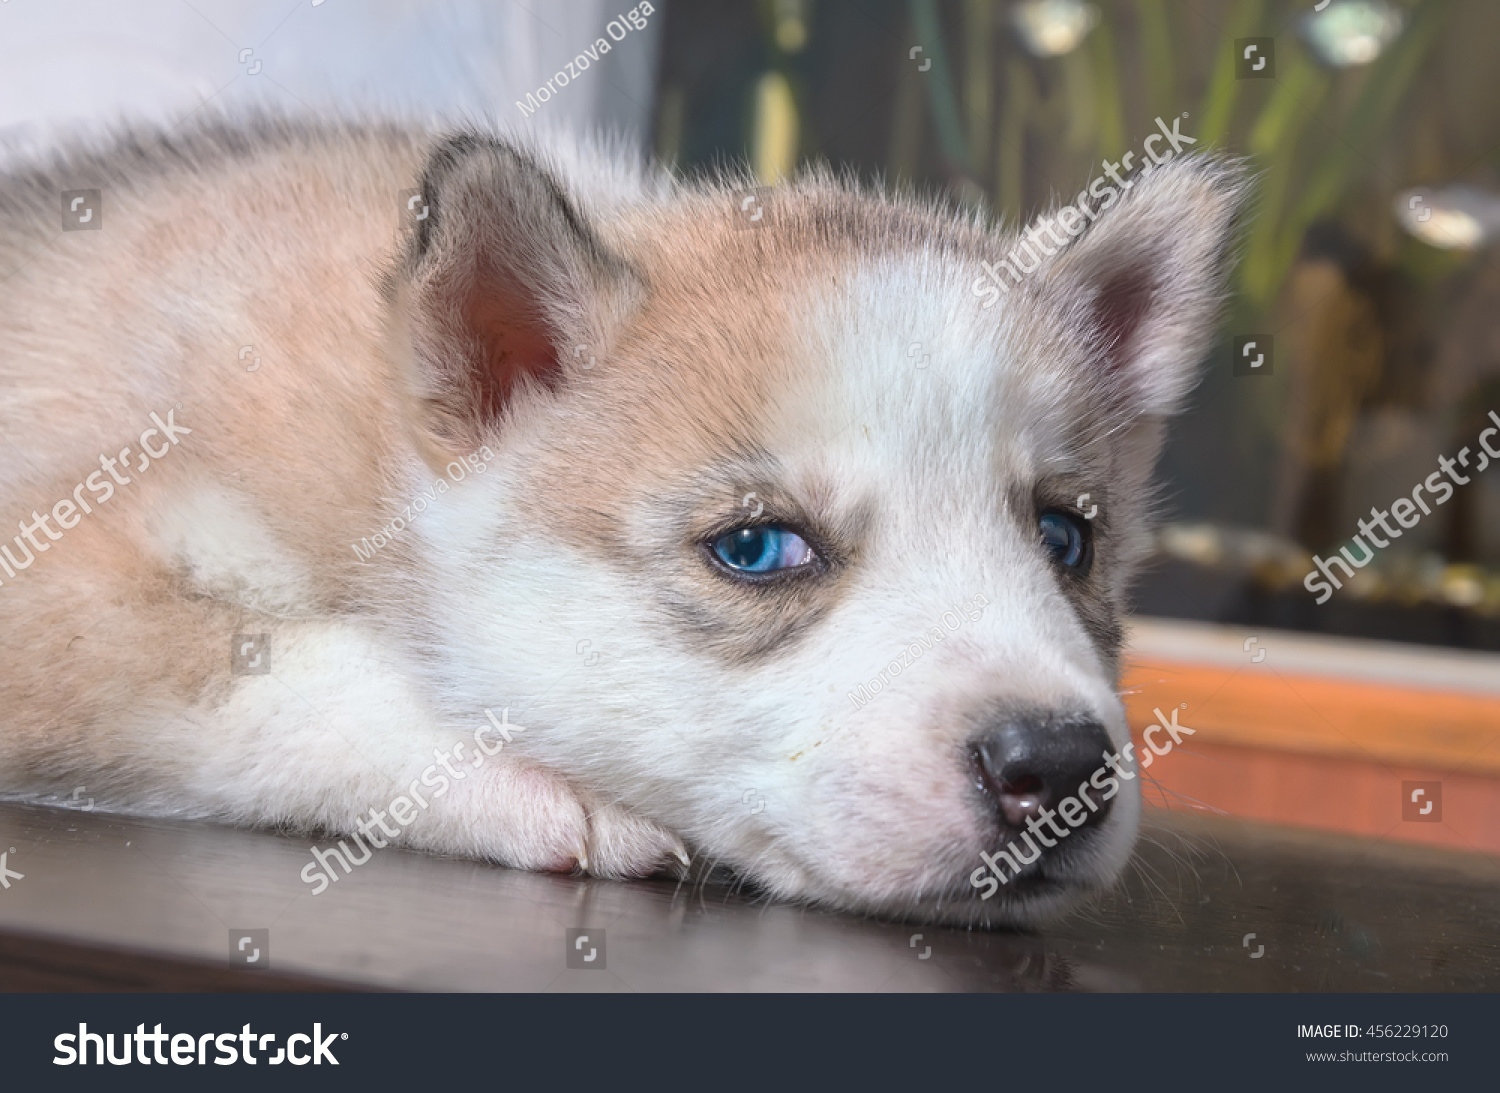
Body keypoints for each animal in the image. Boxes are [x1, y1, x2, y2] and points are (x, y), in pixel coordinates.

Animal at [0, 116, 1242, 923]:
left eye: (1066, 536)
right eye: (757, 547)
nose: (1059, 764)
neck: (382, 455)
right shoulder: (57, 565)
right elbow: (269, 664)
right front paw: (526, 779)